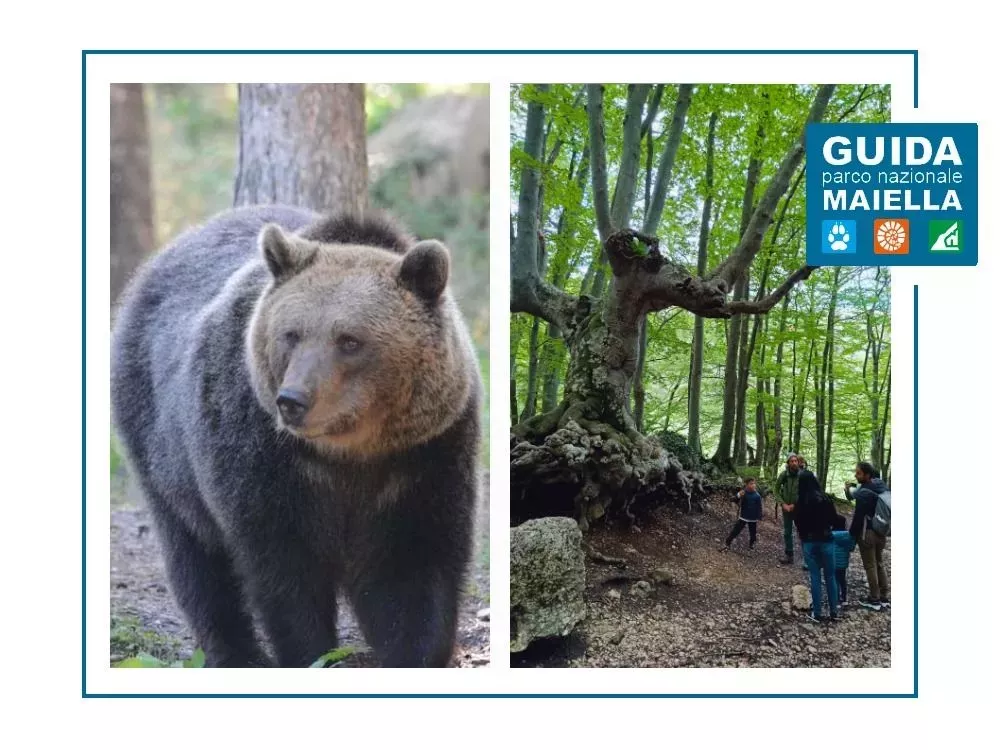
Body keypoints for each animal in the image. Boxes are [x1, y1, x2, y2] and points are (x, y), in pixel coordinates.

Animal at [110, 205, 482, 668]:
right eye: (291, 333)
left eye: (349, 340)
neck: (349, 452)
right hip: (158, 436)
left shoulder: (425, 457)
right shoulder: (259, 453)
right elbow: (285, 571)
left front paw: (412, 652)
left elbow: (415, 571)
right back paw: (236, 652)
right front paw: (311, 651)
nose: (292, 400)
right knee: (196, 558)